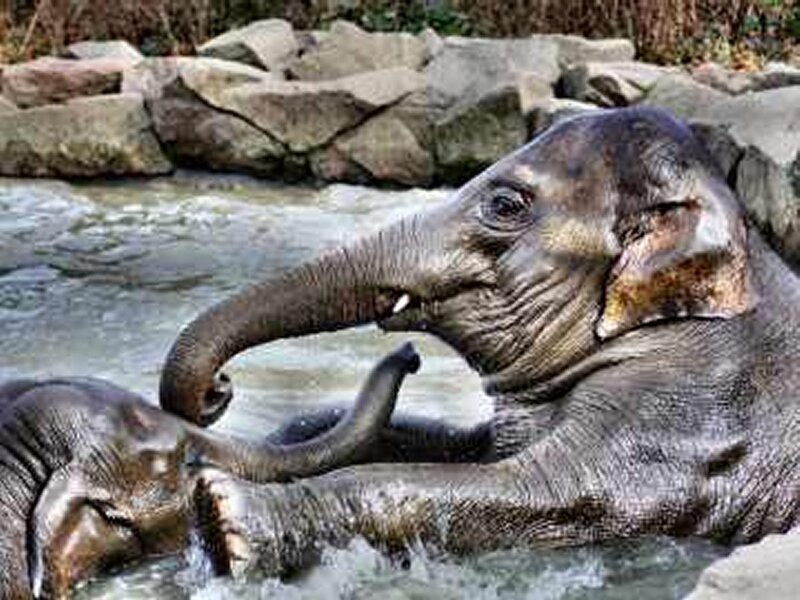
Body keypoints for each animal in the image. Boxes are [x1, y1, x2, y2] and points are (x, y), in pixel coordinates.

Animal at [157, 106, 800, 579]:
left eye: (505, 204)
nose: (217, 389)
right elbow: (461, 447)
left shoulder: (686, 417)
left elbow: (555, 490)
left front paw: (224, 517)